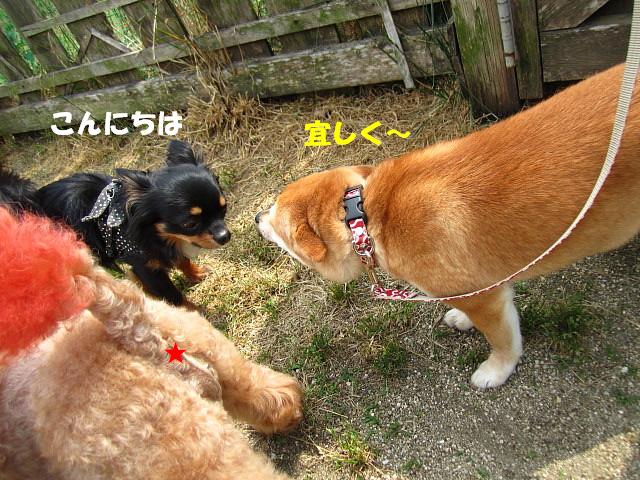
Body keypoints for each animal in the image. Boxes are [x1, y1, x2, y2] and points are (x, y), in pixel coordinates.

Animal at [36, 140, 230, 306]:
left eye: (224, 208)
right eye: (189, 224)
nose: (225, 236)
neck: (154, 232)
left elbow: (182, 260)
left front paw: (196, 273)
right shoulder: (145, 266)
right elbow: (173, 295)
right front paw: (191, 314)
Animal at [256, 64, 640, 388]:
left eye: (275, 221)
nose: (256, 217)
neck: (367, 216)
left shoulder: (483, 297)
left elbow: (503, 339)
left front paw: (497, 370)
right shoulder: (486, 286)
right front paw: (463, 319)